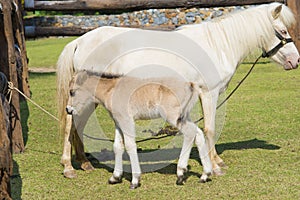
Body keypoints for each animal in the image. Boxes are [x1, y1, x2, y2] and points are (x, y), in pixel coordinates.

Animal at [57, 3, 298, 177]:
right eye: (282, 30)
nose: (296, 60)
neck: (217, 45)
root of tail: (79, 41)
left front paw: (215, 160)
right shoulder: (208, 93)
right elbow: (210, 129)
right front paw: (214, 165)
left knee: (77, 124)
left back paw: (85, 163)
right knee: (70, 125)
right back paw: (68, 167)